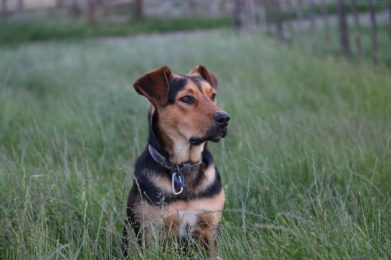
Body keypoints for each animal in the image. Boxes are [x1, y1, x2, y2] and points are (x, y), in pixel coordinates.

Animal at [123, 65, 230, 258]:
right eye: (187, 98)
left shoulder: (210, 227)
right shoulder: (150, 230)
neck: (183, 167)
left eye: (213, 95)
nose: (224, 118)